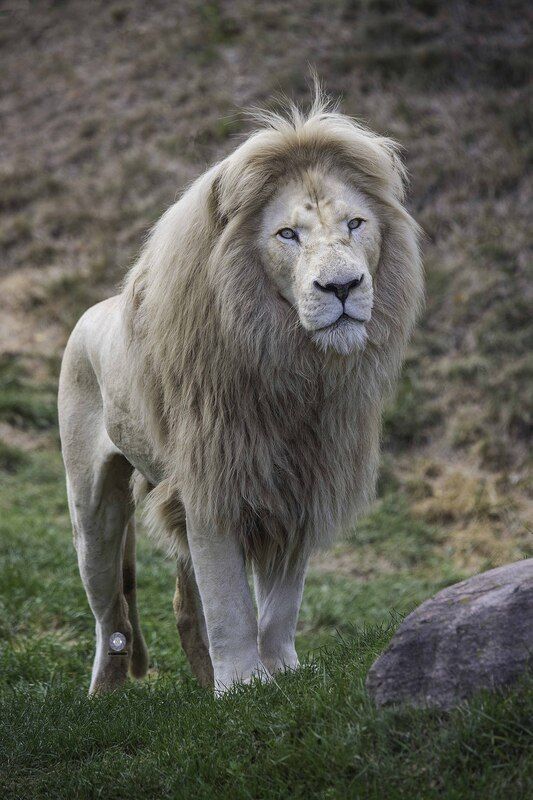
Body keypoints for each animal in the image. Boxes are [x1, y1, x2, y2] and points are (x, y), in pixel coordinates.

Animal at [58, 91, 423, 695]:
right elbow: (230, 603)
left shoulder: (302, 484)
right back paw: (103, 700)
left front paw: (281, 675)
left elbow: (278, 607)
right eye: (288, 235)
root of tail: (91, 311)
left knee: (184, 608)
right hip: (92, 513)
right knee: (111, 618)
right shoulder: (211, 484)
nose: (343, 287)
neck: (292, 367)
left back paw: (203, 682)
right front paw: (244, 689)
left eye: (355, 224)